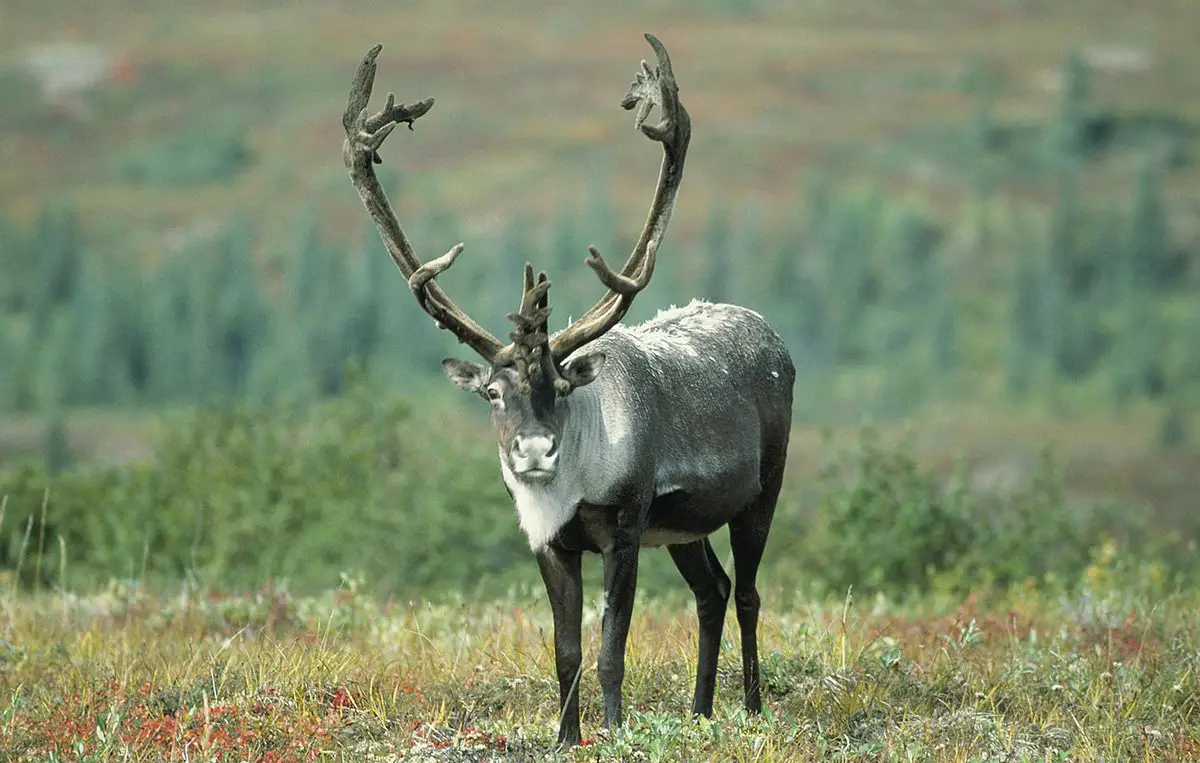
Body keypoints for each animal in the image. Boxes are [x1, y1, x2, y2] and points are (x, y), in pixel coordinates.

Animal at [341, 34, 794, 748]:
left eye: (560, 384)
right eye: (491, 393)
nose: (533, 451)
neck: (571, 488)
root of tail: (773, 337)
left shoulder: (625, 529)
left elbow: (610, 649)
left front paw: (613, 732)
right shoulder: (551, 545)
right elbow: (565, 650)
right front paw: (565, 738)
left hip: (760, 489)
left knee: (748, 592)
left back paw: (749, 710)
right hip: (685, 527)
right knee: (713, 592)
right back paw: (700, 714)